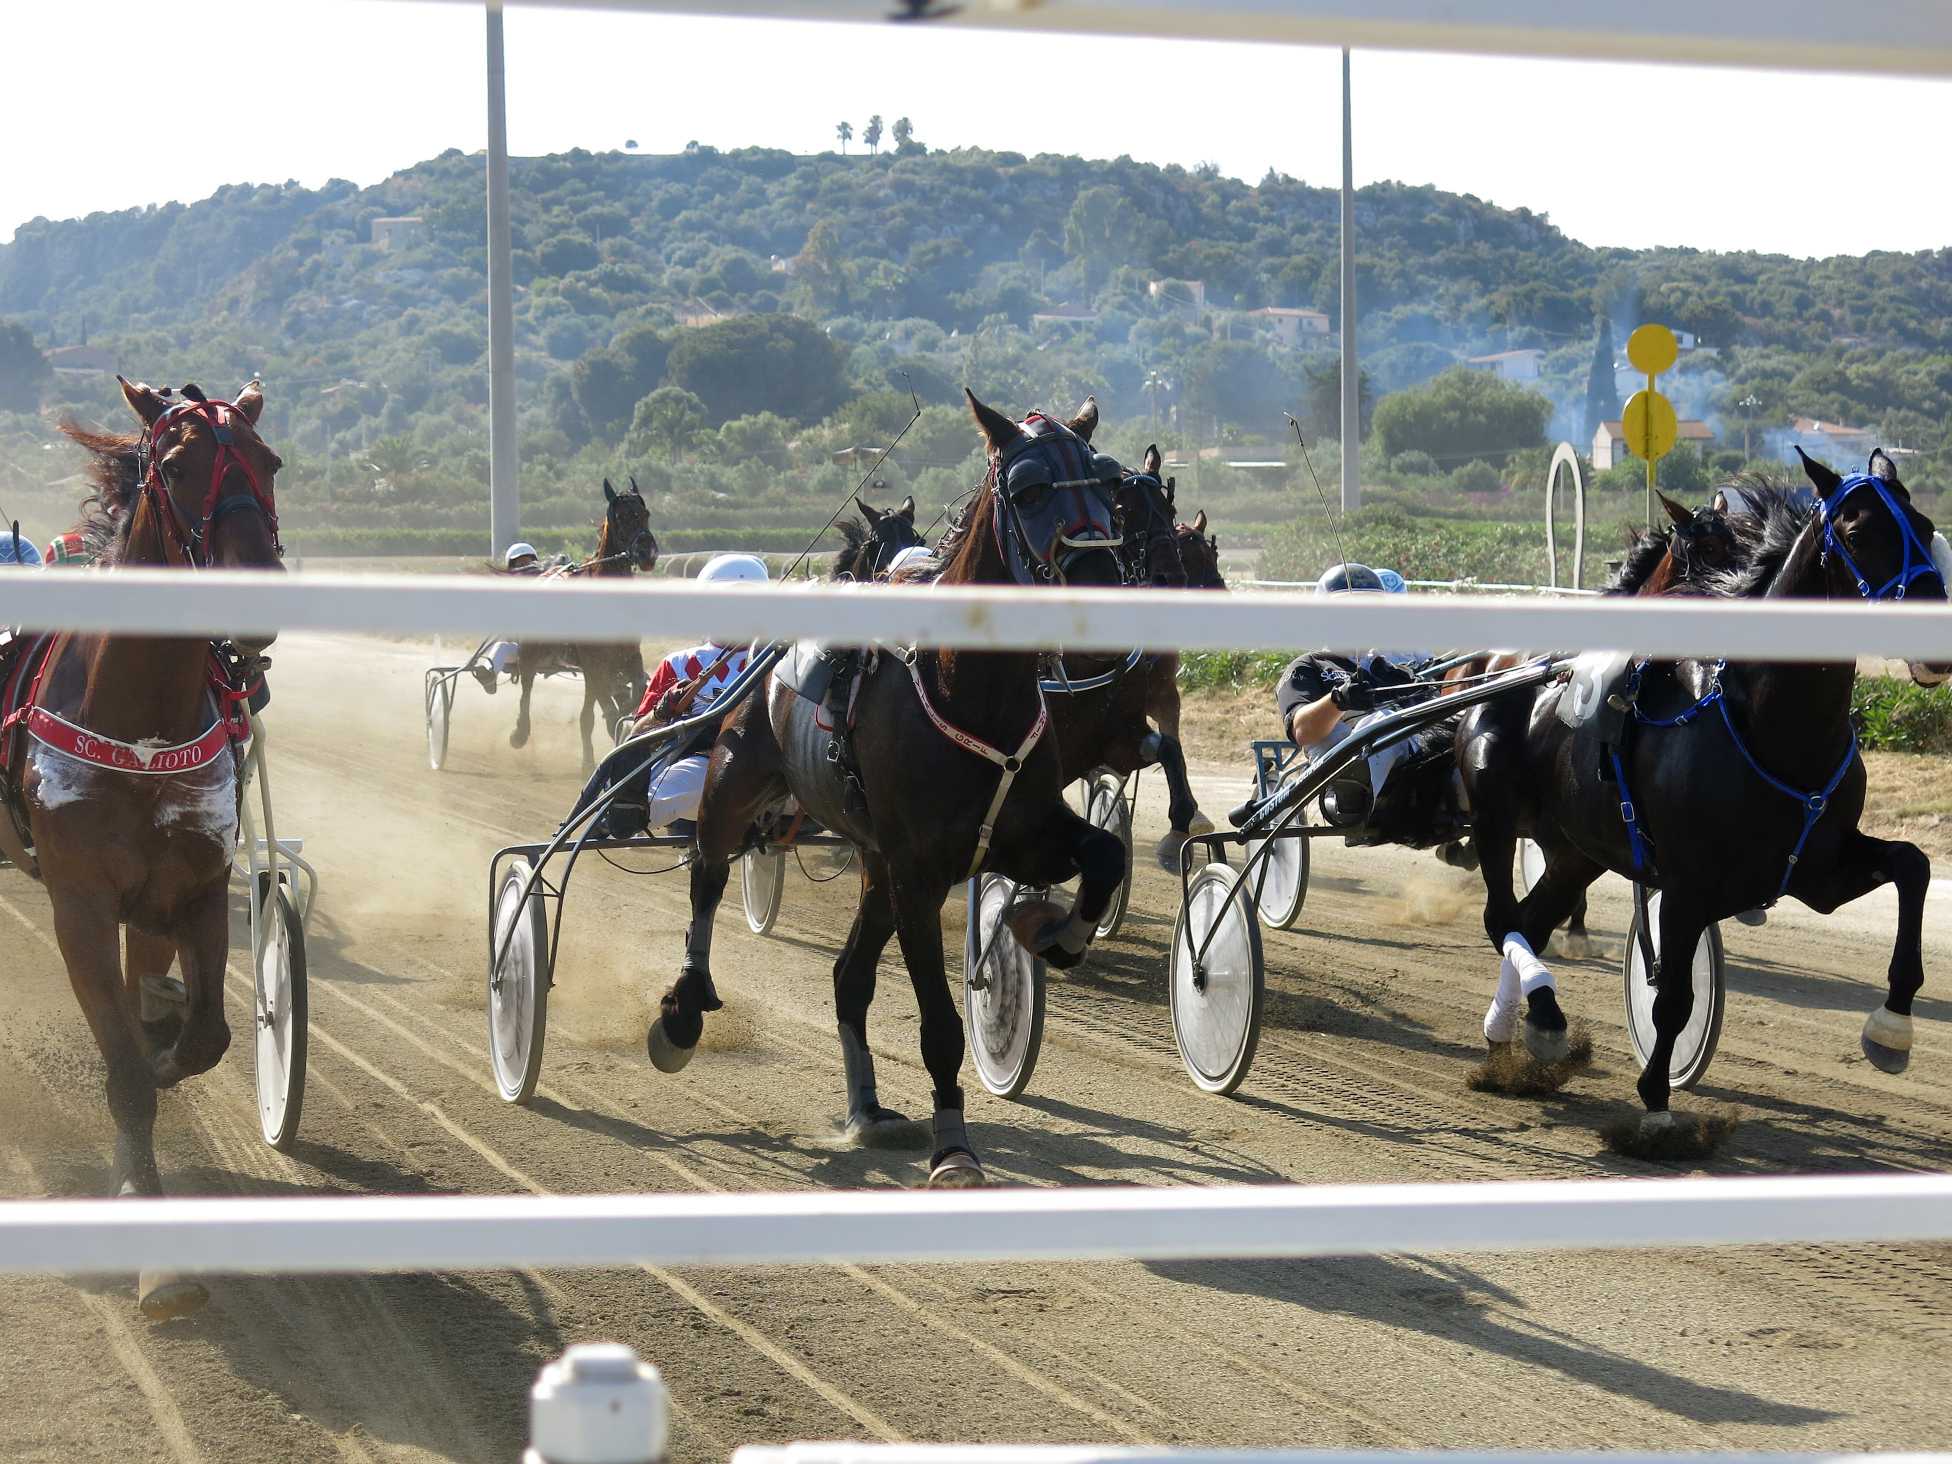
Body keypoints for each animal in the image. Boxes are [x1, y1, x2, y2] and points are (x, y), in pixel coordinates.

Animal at [0, 374, 284, 1319]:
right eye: (180, 465)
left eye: (271, 462)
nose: (254, 593)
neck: (141, 722)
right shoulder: (80, 905)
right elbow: (121, 1068)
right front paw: (147, 1228)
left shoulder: (195, 886)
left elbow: (203, 1040)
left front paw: (165, 1049)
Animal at [507, 482, 659, 780]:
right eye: (622, 516)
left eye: (646, 514)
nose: (648, 554)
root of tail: (545, 573)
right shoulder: (594, 663)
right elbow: (610, 713)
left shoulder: (627, 656)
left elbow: (635, 687)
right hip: (532, 652)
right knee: (527, 688)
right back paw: (520, 733)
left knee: (587, 712)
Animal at [648, 392, 1124, 1194]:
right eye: (1028, 488)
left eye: (1108, 480)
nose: (1102, 581)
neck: (972, 691)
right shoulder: (917, 873)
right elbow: (940, 1025)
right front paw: (954, 1149)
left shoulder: (1024, 833)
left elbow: (1106, 854)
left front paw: (1049, 931)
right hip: (734, 779)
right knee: (706, 879)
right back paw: (683, 1011)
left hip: (872, 863)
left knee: (847, 976)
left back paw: (866, 1109)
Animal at [1467, 452, 1952, 1139]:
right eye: (1859, 533)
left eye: (1926, 526)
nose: (1935, 638)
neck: (1770, 726)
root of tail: (1498, 667)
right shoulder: (1687, 882)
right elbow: (1671, 997)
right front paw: (1656, 1102)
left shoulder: (1817, 870)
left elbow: (1914, 865)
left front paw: (1892, 1029)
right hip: (1494, 817)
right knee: (1501, 920)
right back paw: (1541, 1024)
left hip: (1577, 851)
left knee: (1531, 923)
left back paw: (1528, 1030)